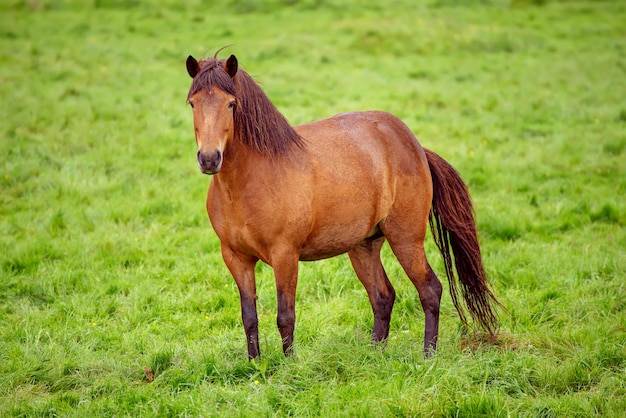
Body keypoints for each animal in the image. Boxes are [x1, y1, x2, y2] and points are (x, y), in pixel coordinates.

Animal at [183, 51, 500, 360]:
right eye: (192, 103)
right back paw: (374, 355)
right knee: (383, 296)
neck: (251, 181)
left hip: (406, 239)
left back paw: (428, 356)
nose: (209, 158)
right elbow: (249, 317)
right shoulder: (236, 258)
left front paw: (289, 366)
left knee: (430, 290)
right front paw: (255, 365)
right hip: (364, 245)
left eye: (231, 104)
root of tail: (416, 147)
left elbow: (285, 316)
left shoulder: (285, 255)